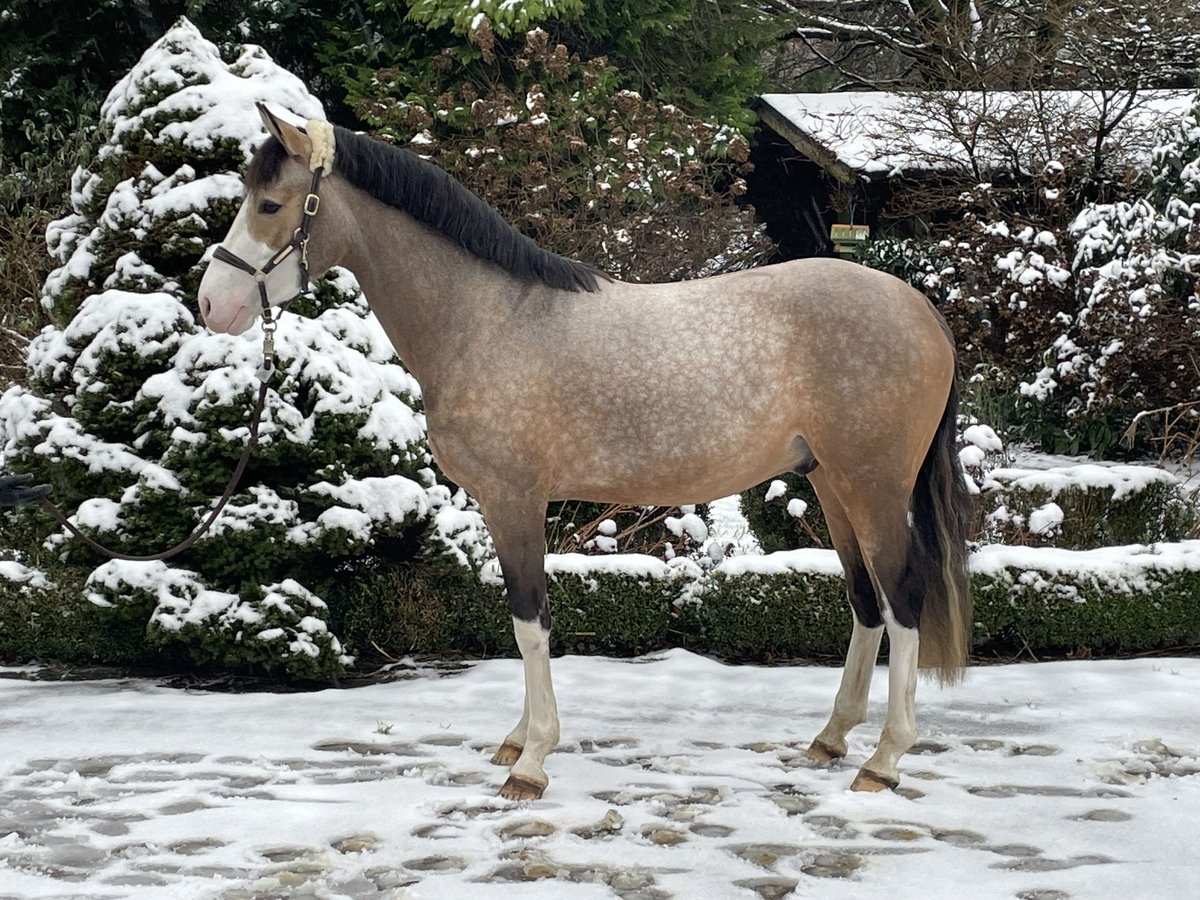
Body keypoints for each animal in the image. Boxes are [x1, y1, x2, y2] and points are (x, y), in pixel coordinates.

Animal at [201, 105, 969, 801]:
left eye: (270, 203)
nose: (212, 305)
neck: (487, 319)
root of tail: (921, 309)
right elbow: (524, 620)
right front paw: (518, 741)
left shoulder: (514, 499)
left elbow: (528, 620)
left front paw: (531, 761)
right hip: (832, 484)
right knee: (866, 603)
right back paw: (832, 739)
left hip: (871, 485)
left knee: (902, 599)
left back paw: (885, 760)